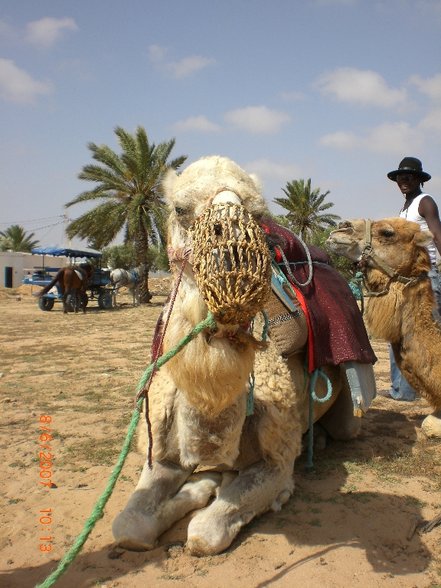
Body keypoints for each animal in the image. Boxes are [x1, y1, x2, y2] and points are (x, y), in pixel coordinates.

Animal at [112, 156, 374, 556]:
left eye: (257, 213)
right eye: (180, 208)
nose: (232, 256)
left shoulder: (276, 461)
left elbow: (204, 533)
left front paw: (210, 488)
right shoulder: (162, 451)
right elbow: (129, 526)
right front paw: (199, 485)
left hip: (347, 408)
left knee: (345, 427)